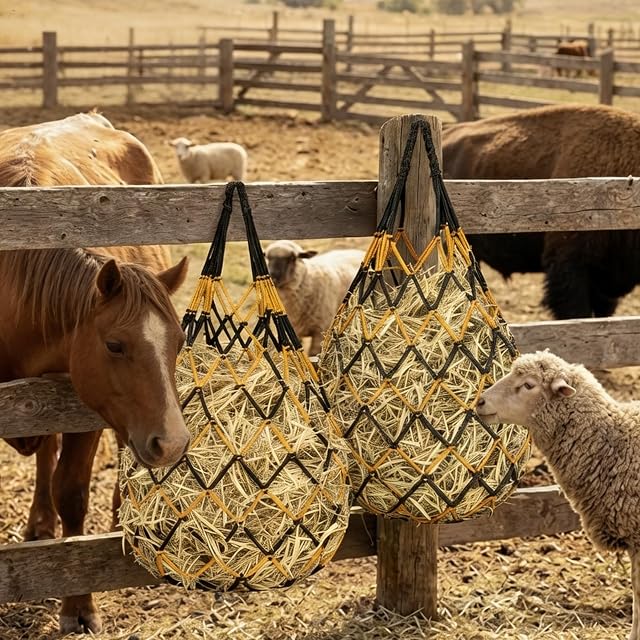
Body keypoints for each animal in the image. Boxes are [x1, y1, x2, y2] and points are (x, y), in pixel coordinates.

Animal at [0, 111, 190, 634]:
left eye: (179, 342)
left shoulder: (84, 409)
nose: (174, 442)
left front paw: (78, 603)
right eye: (114, 344)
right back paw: (39, 522)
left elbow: (73, 494)